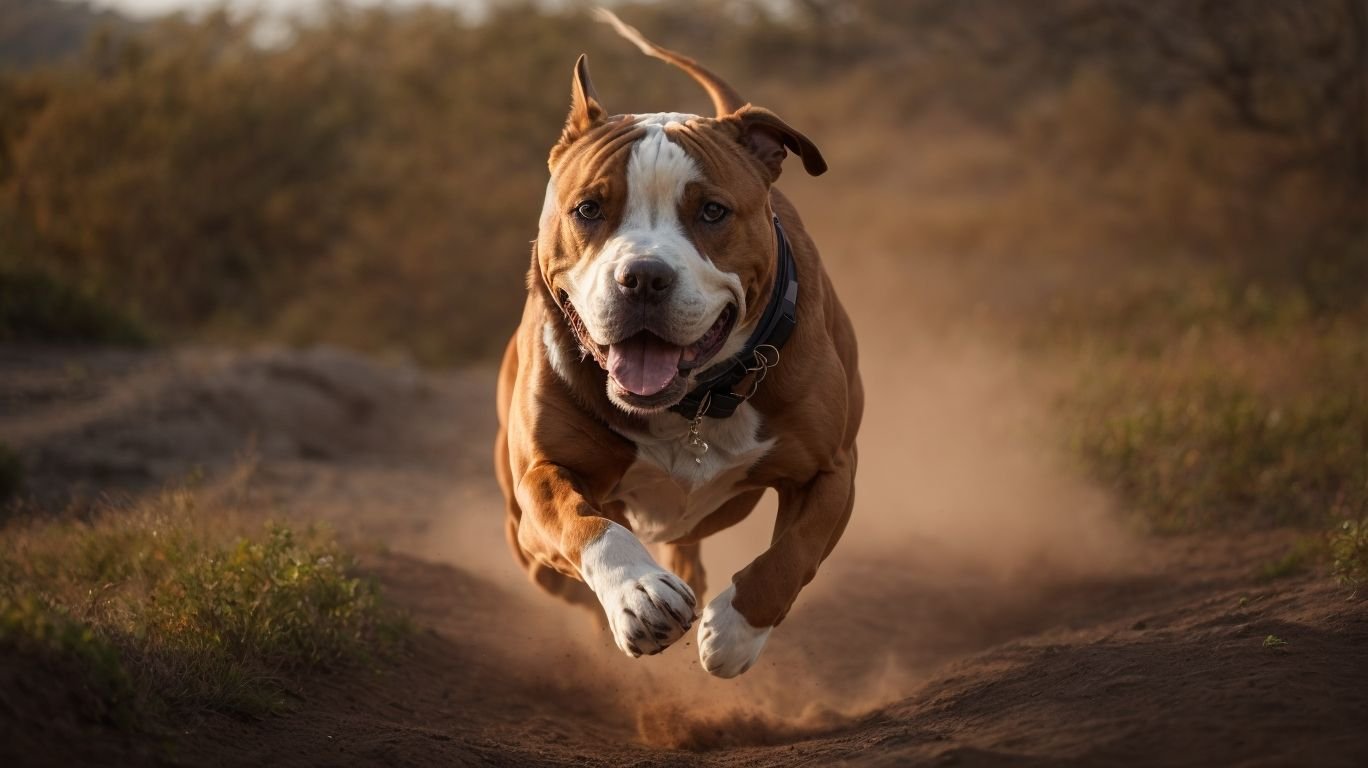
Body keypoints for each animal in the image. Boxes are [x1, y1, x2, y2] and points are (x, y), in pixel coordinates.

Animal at [495, 10, 864, 676]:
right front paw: (637, 595)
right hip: (521, 532)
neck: (689, 404)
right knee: (556, 562)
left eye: (713, 211)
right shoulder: (542, 473)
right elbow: (583, 522)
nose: (643, 276)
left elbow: (794, 553)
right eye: (588, 209)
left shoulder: (831, 470)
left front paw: (736, 632)